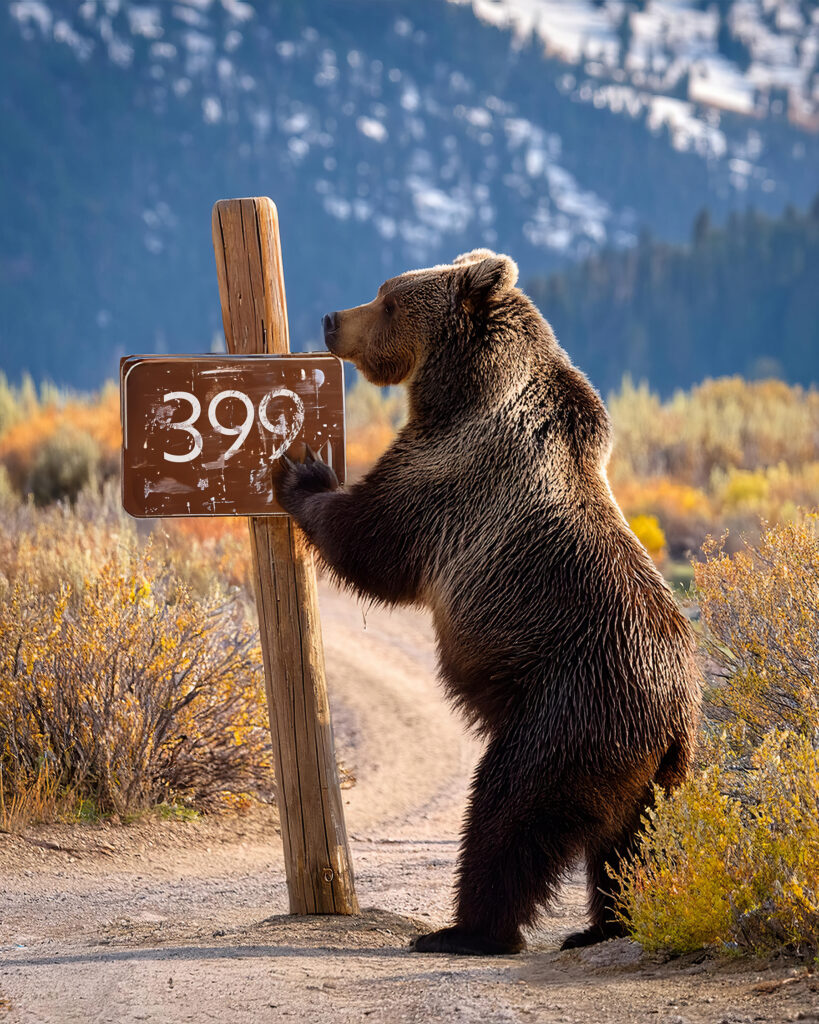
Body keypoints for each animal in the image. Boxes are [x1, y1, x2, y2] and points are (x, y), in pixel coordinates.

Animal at [274, 245, 696, 950]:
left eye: (389, 299)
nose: (332, 320)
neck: (466, 388)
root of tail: (673, 715)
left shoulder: (452, 474)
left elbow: (375, 540)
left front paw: (303, 475)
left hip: (566, 711)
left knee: (509, 810)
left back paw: (468, 929)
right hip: (652, 772)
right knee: (632, 844)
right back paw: (606, 925)